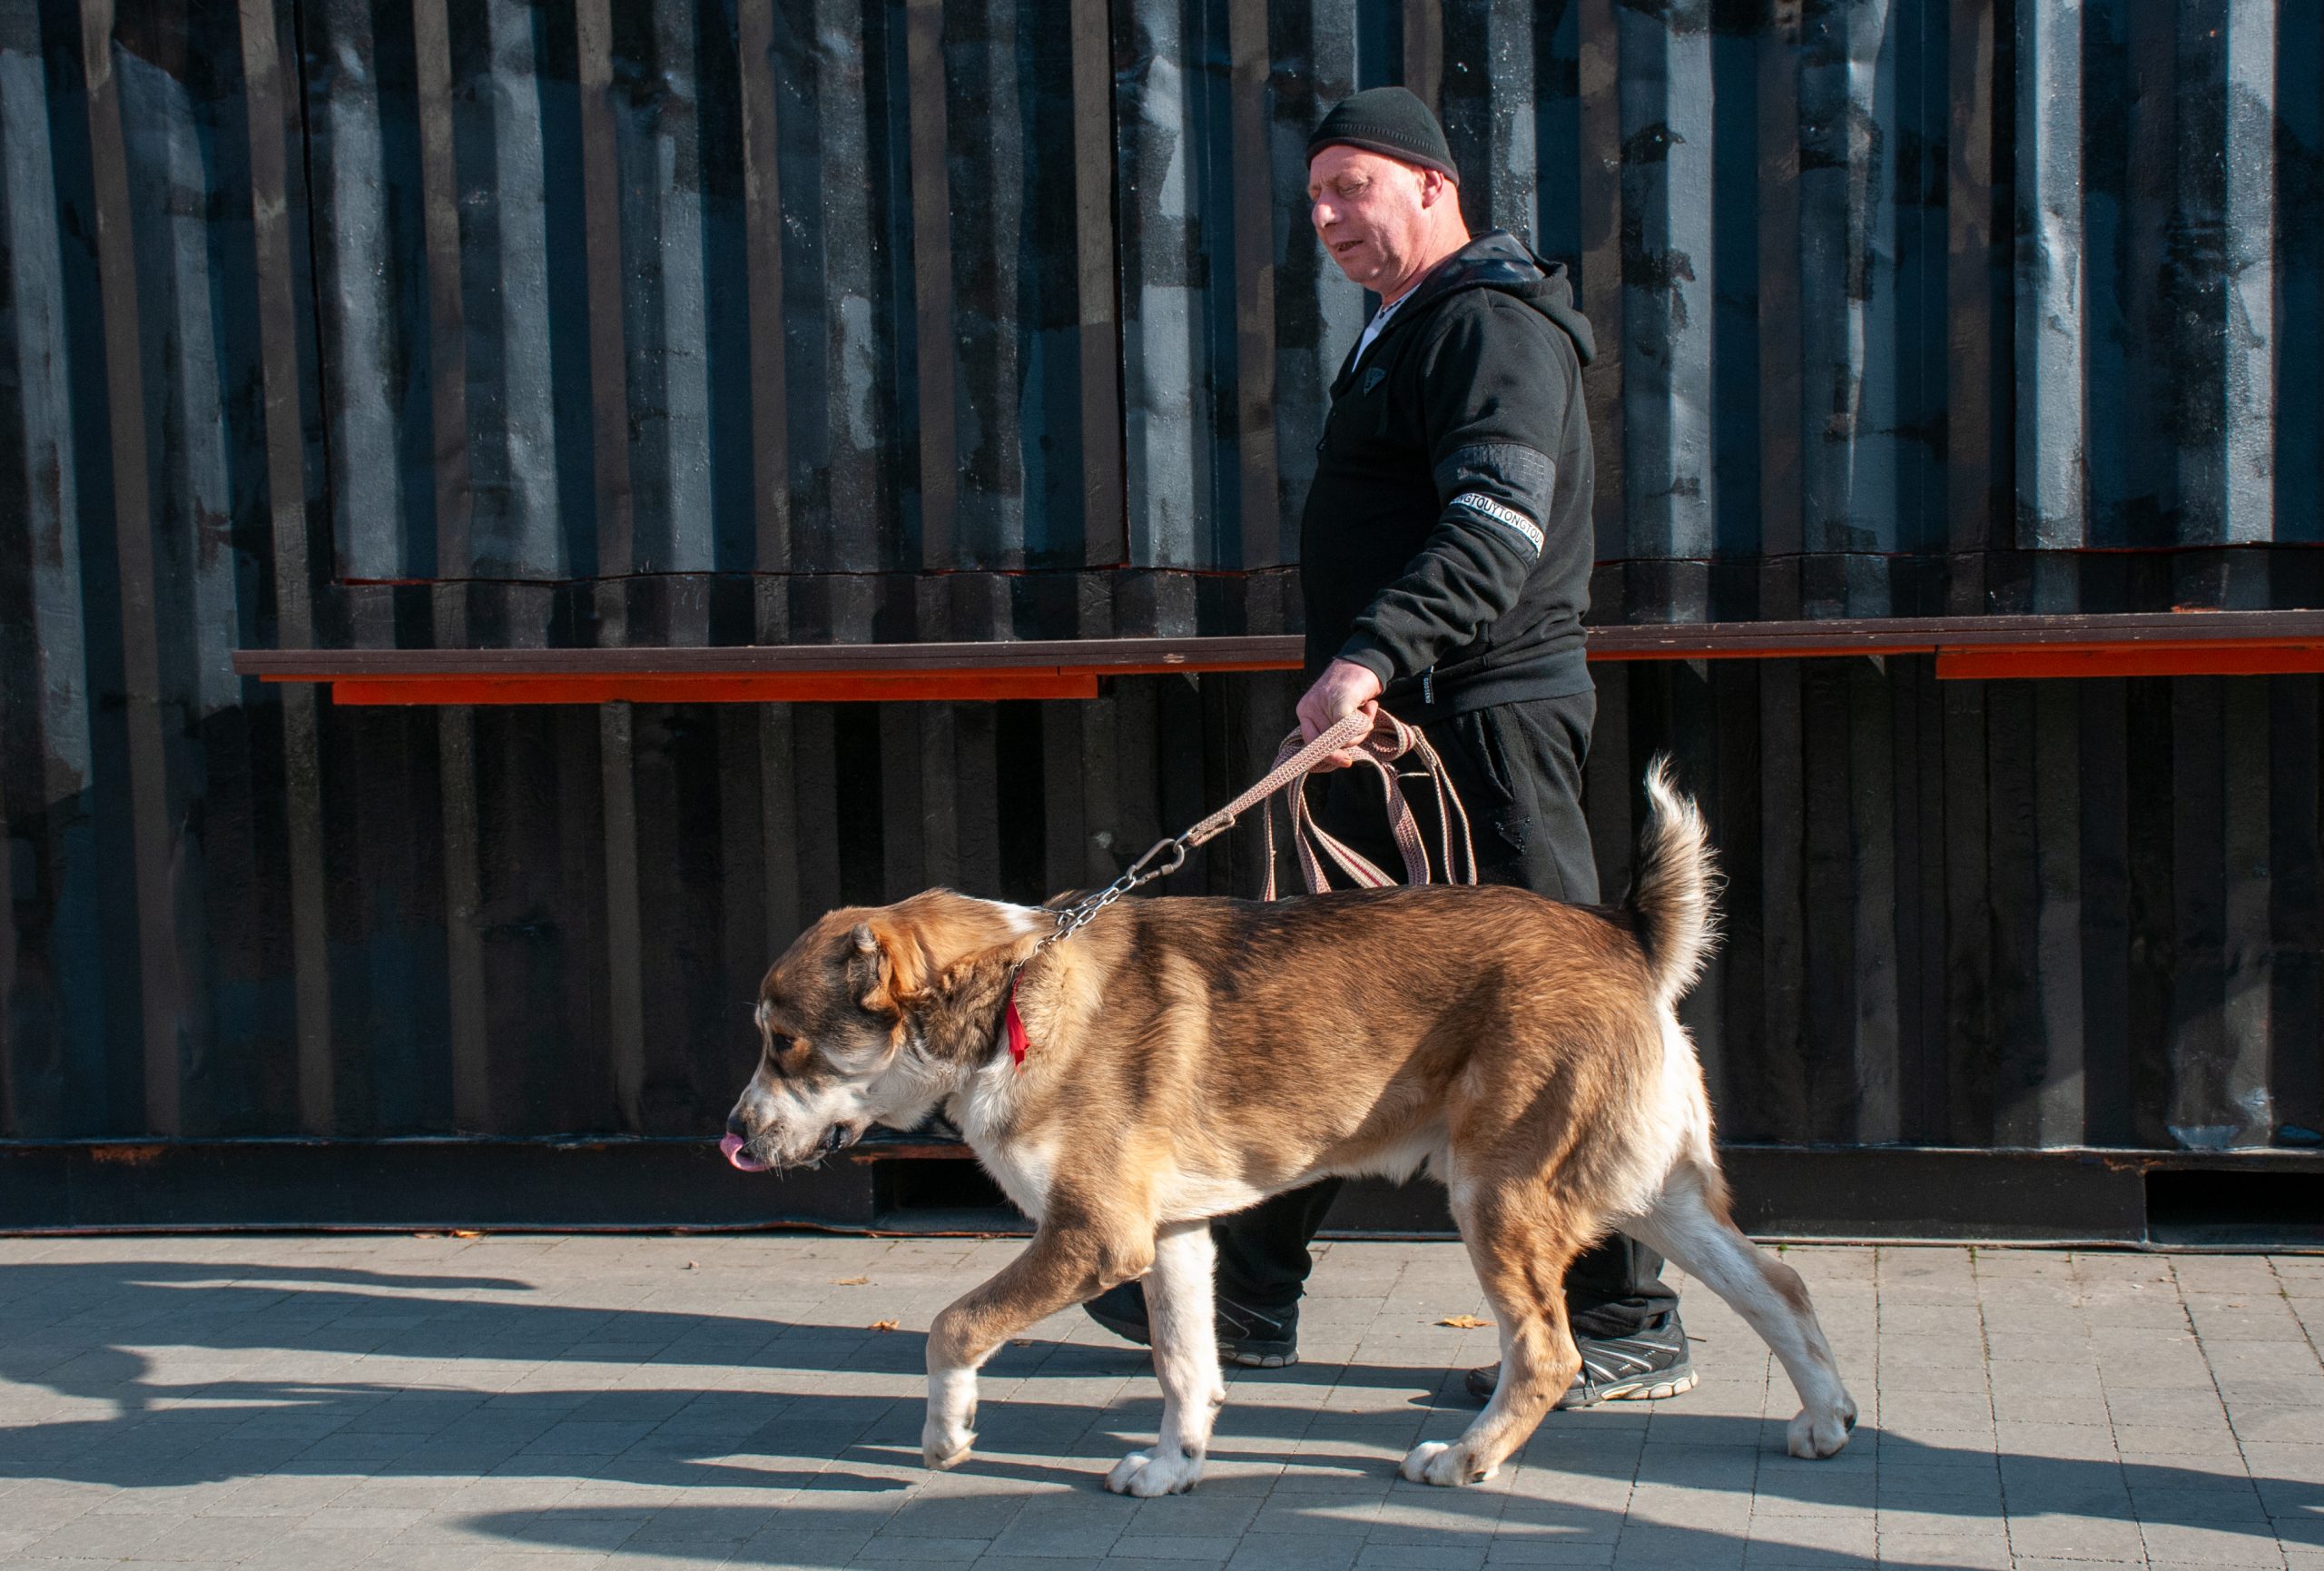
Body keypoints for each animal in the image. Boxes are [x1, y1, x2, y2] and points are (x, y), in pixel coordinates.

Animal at [724, 771, 1849, 1497]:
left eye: (785, 1043)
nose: (733, 1136)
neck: (1009, 989)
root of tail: (1624, 935)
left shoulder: (1092, 1237)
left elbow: (953, 1325)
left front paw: (946, 1432)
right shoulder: (1169, 1240)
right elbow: (1187, 1368)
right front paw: (1173, 1466)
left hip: (1500, 1198)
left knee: (1546, 1352)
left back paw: (1466, 1459)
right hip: (1657, 1194)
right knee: (1781, 1286)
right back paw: (1826, 1418)